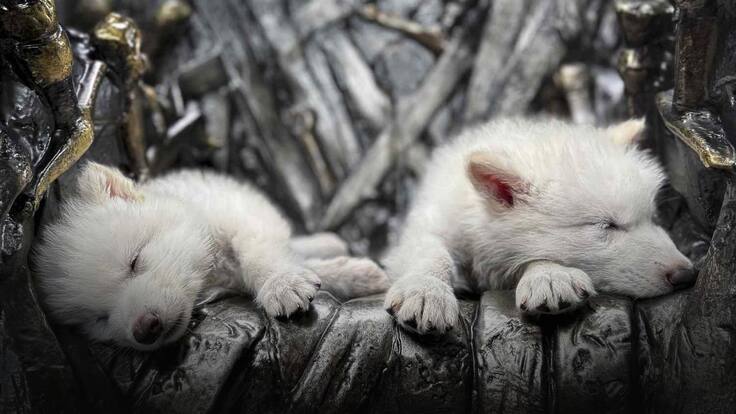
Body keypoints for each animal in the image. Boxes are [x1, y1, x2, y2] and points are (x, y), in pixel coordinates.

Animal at [34, 163, 389, 350]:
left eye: (134, 261)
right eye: (100, 318)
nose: (144, 329)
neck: (210, 272)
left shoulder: (243, 216)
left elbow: (260, 255)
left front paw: (281, 284)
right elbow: (297, 263)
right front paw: (351, 274)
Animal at [383, 118, 695, 334]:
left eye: (652, 218)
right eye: (607, 225)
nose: (688, 275)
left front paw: (549, 276)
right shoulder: (430, 223)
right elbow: (431, 251)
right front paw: (425, 291)